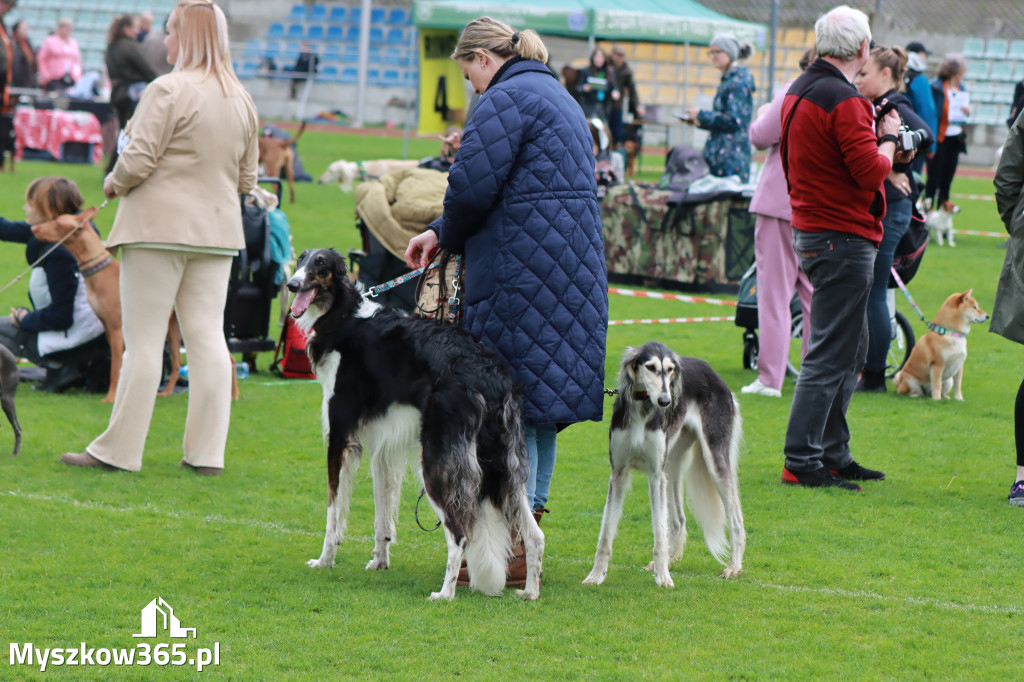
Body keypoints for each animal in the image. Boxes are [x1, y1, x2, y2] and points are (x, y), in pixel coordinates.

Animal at [288, 246, 544, 598]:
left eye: (321, 264)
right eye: (301, 259)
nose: (291, 284)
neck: (343, 315)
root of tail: (490, 374)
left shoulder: (339, 435)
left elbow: (333, 509)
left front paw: (324, 560)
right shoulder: (383, 448)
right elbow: (382, 512)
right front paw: (379, 561)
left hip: (437, 461)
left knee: (460, 534)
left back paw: (445, 594)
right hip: (506, 465)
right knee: (534, 535)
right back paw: (530, 592)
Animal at [585, 339, 745, 585]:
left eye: (670, 370)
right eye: (650, 367)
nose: (665, 402)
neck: (643, 407)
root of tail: (712, 372)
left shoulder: (655, 475)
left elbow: (659, 533)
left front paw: (663, 580)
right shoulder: (619, 473)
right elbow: (605, 534)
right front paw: (595, 576)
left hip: (714, 460)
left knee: (735, 519)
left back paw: (733, 567)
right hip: (671, 465)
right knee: (679, 519)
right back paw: (670, 560)